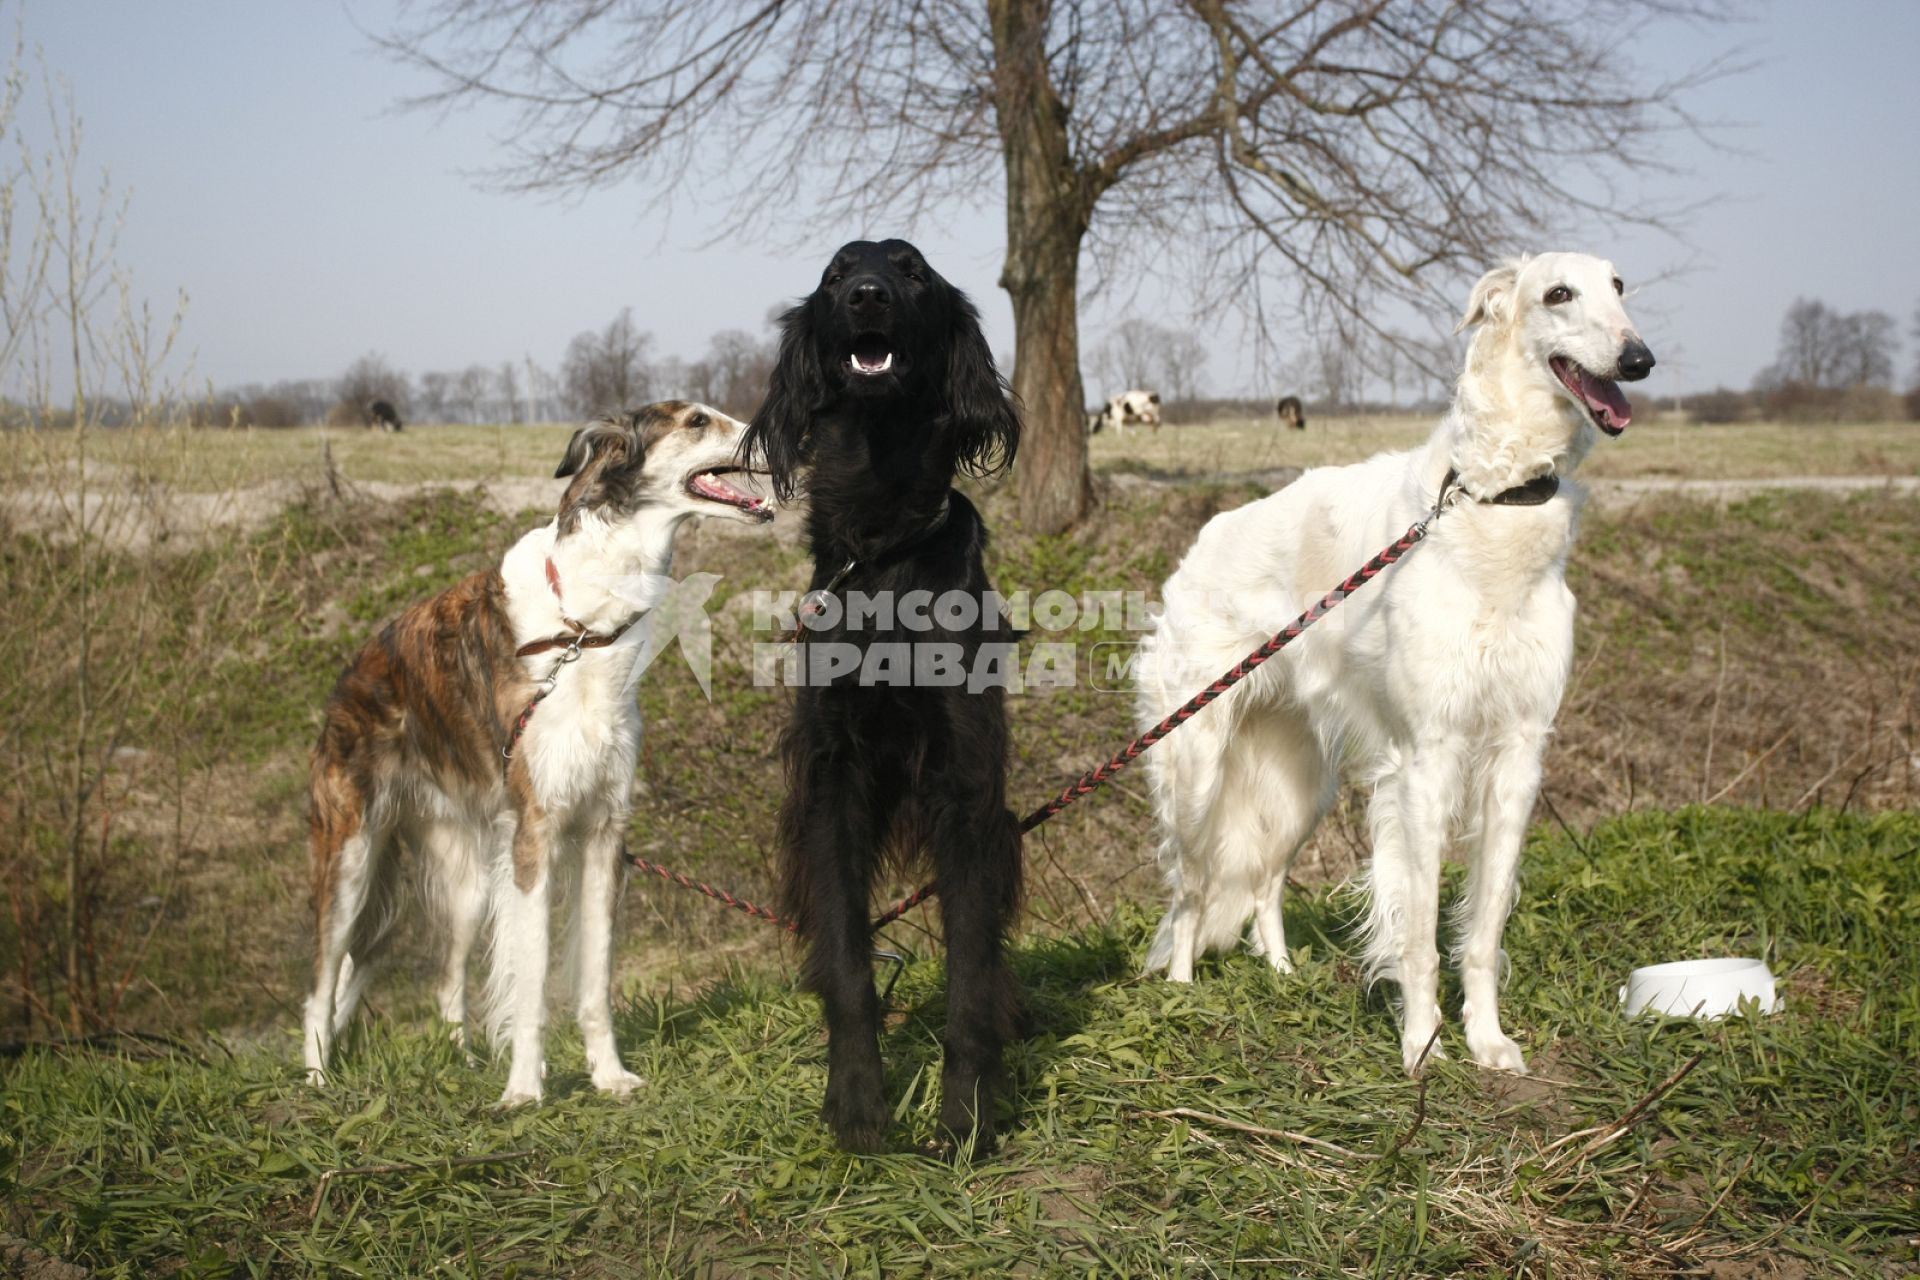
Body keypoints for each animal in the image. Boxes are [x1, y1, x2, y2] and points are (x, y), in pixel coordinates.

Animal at [744, 237, 1029, 1151]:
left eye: (911, 272)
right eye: (836, 275)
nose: (867, 295)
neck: (881, 549)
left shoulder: (969, 788)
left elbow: (970, 974)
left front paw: (967, 1115)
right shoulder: (831, 782)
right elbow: (848, 963)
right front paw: (858, 1103)